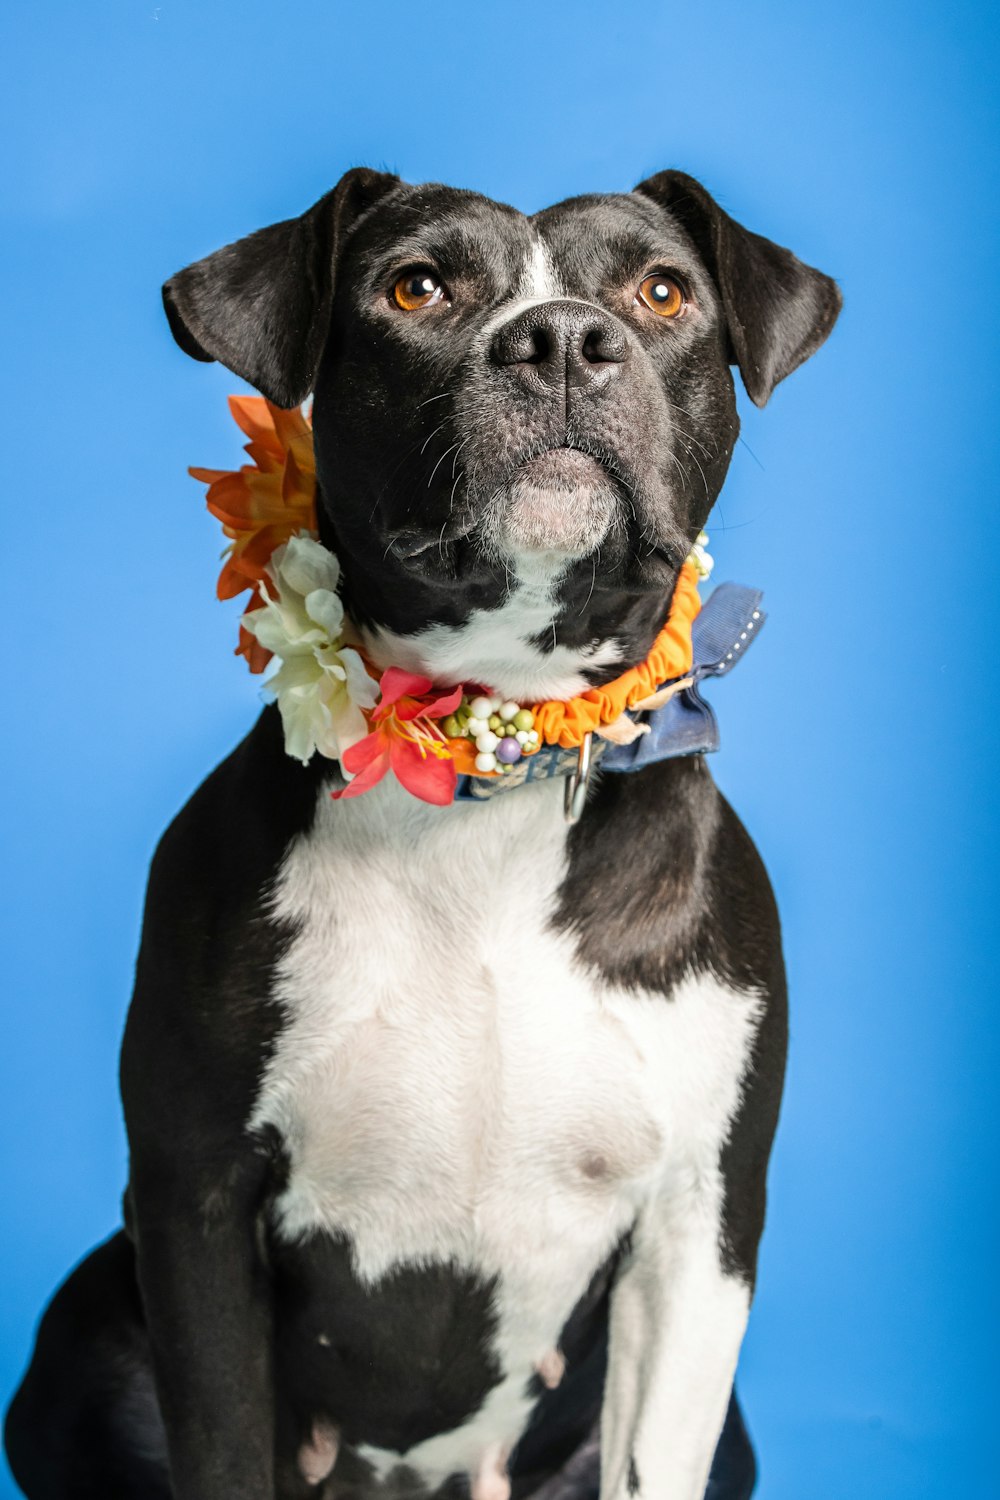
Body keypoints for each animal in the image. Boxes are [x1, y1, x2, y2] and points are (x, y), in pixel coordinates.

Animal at [3, 167, 839, 1500]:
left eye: (661, 292)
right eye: (417, 288)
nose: (561, 341)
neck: (492, 768)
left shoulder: (697, 1230)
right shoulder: (195, 1204)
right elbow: (220, 1443)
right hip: (84, 1333)